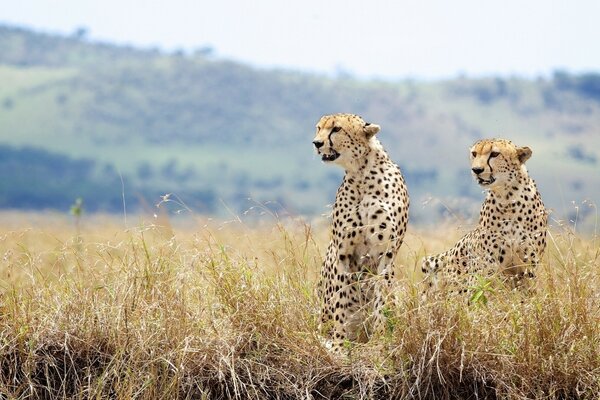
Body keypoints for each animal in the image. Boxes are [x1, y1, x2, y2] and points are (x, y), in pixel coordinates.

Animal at [314, 112, 408, 350]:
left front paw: (381, 339)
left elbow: (381, 301)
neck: (361, 175)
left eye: (336, 129)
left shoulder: (386, 254)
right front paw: (339, 344)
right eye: (318, 128)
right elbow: (341, 302)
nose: (316, 143)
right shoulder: (343, 253)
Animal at [422, 139, 548, 296]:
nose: (476, 170)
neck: (508, 198)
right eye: (474, 153)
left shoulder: (529, 266)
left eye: (494, 154)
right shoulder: (486, 268)